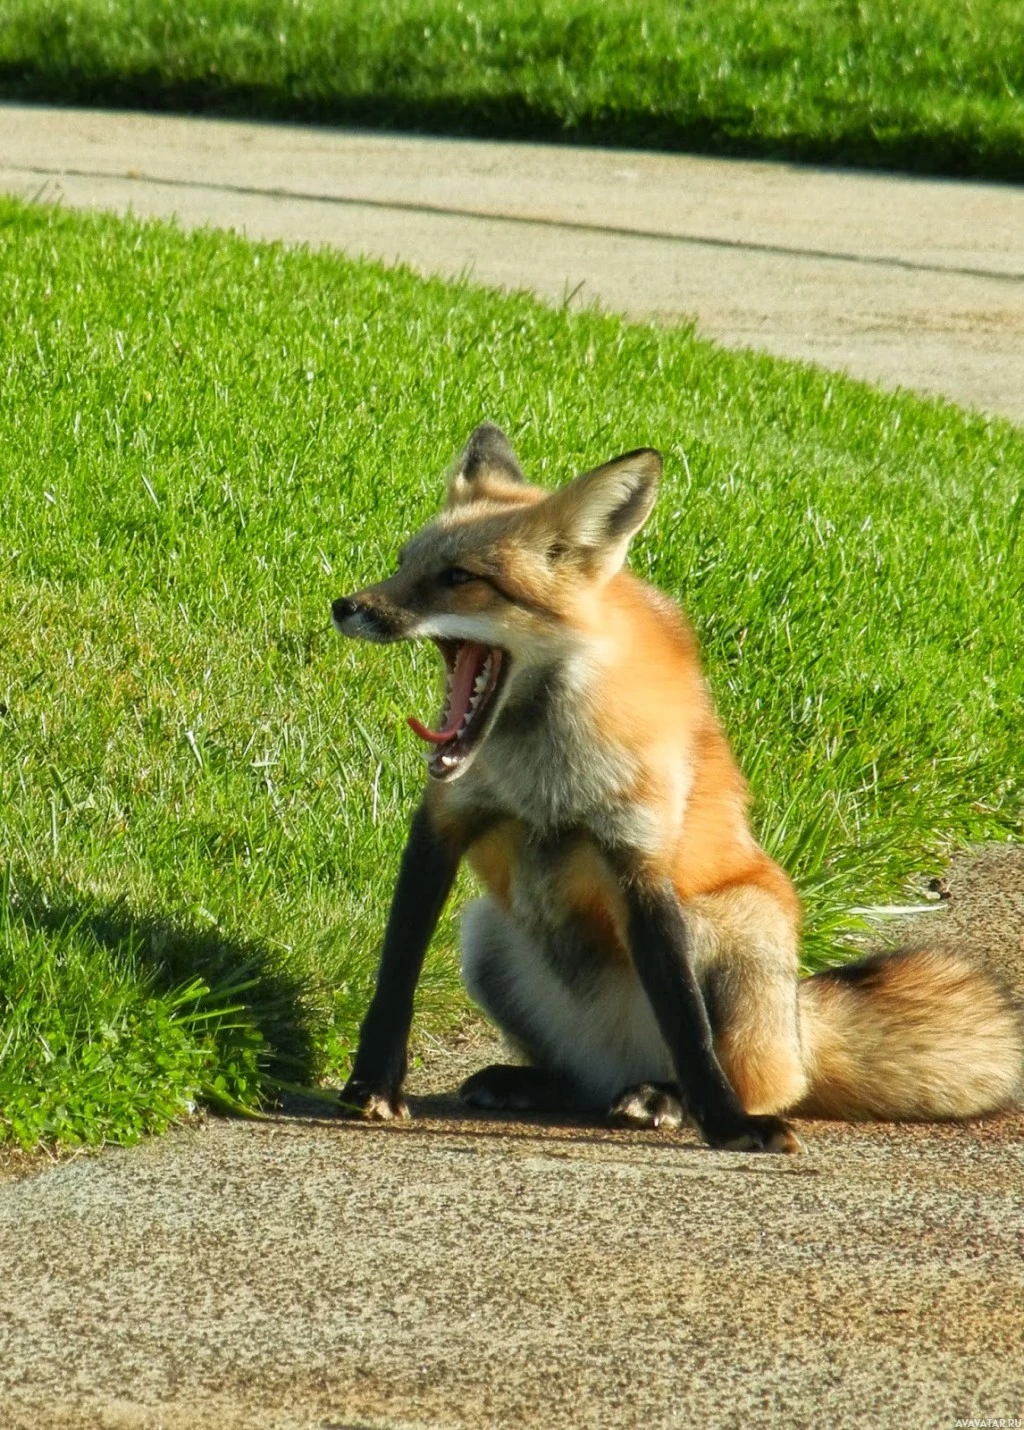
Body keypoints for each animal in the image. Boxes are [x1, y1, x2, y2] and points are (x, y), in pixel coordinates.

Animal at [331, 420, 1018, 1149]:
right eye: (403, 562)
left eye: (458, 578)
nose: (345, 606)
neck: (543, 775)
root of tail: (799, 1032)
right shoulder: (441, 823)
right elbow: (394, 976)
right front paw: (371, 1086)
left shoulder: (640, 858)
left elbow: (687, 1023)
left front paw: (728, 1124)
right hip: (488, 930)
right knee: (582, 1084)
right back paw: (543, 1083)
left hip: (737, 925)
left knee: (733, 1071)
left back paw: (675, 1100)